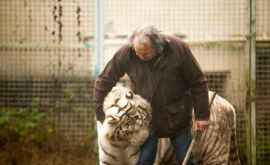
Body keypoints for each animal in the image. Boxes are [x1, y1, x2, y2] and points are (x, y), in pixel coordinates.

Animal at [97, 84, 240, 164]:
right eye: (127, 128)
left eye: (143, 120)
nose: (145, 139)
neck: (119, 145)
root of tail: (228, 105)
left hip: (215, 154)